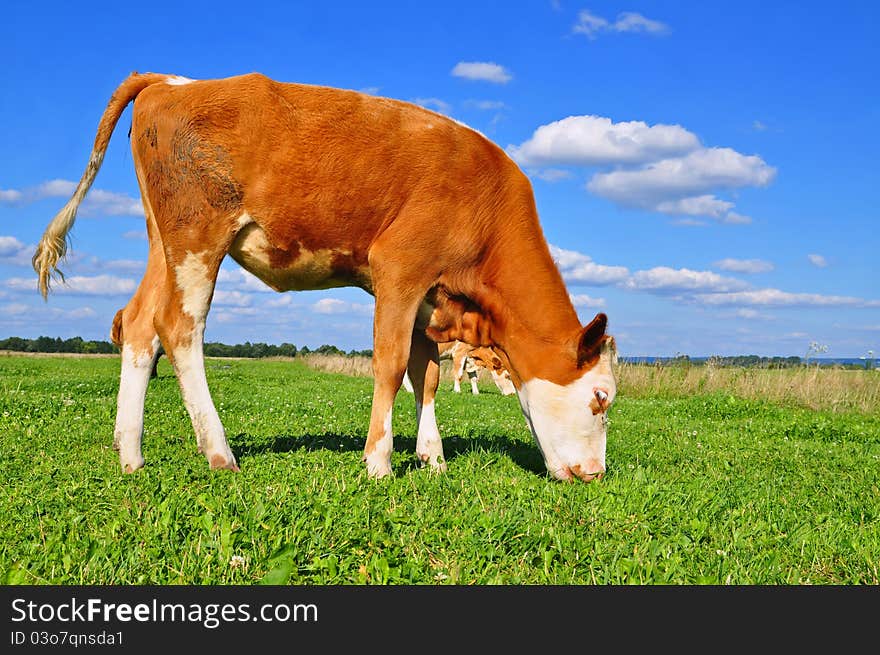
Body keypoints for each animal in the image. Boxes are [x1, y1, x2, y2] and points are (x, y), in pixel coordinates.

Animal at [34, 72, 620, 484]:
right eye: (602, 398)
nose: (595, 475)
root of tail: (171, 81)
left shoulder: (429, 298)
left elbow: (426, 375)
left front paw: (432, 459)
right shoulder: (399, 268)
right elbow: (390, 367)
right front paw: (379, 462)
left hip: (165, 242)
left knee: (137, 323)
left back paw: (130, 454)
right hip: (199, 236)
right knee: (179, 329)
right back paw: (219, 453)